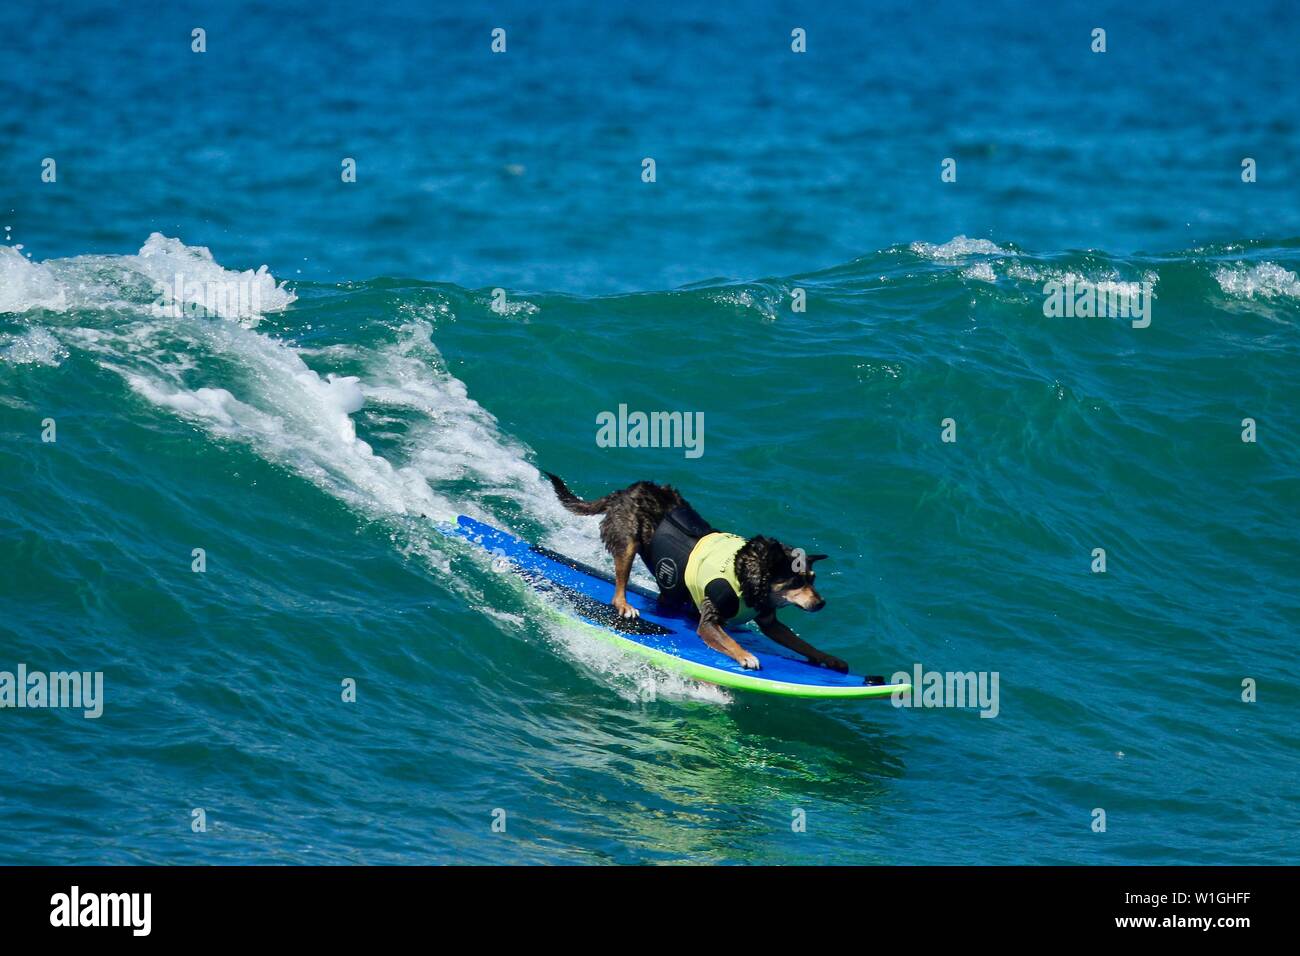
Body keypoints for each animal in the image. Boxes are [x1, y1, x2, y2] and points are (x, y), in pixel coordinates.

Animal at [543, 473, 847, 671]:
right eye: (795, 582)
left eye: (812, 580)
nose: (821, 603)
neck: (752, 575)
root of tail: (626, 491)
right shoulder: (710, 623)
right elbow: (727, 639)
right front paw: (745, 654)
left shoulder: (771, 622)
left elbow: (801, 644)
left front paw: (828, 658)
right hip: (628, 542)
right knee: (620, 584)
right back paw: (625, 605)